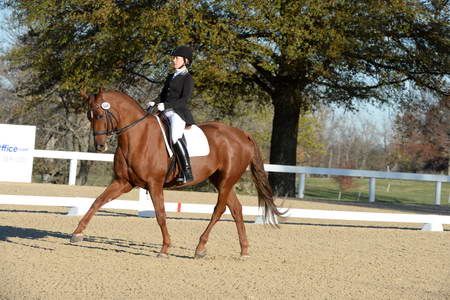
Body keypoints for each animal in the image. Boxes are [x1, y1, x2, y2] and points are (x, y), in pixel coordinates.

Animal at [70, 89, 282, 258]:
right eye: (89, 116)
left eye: (99, 115)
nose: (100, 146)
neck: (137, 137)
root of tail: (242, 134)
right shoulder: (123, 182)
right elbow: (97, 201)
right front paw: (77, 233)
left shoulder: (154, 184)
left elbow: (160, 214)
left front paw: (165, 249)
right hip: (222, 180)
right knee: (236, 209)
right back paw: (244, 251)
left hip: (227, 180)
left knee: (219, 210)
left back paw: (200, 248)